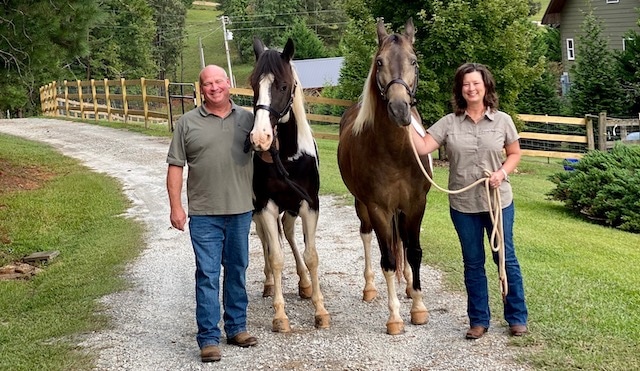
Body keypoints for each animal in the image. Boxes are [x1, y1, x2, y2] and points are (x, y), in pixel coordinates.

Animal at [249, 37, 332, 334]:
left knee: (289, 235)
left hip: (292, 209)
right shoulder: (267, 207)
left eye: (283, 85)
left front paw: (320, 310)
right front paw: (280, 315)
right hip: (259, 212)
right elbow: (275, 257)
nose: (260, 138)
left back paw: (304, 284)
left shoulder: (309, 205)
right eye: (254, 84)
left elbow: (311, 255)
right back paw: (268, 284)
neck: (288, 156)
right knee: (267, 242)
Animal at [338, 18, 432, 338]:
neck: (395, 153)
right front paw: (395, 317)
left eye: (414, 61)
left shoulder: (416, 205)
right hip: (363, 206)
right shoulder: (378, 208)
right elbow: (388, 260)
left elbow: (413, 251)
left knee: (401, 240)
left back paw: (409, 287)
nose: (399, 109)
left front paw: (418, 307)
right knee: (368, 237)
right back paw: (369, 288)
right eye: (379, 62)